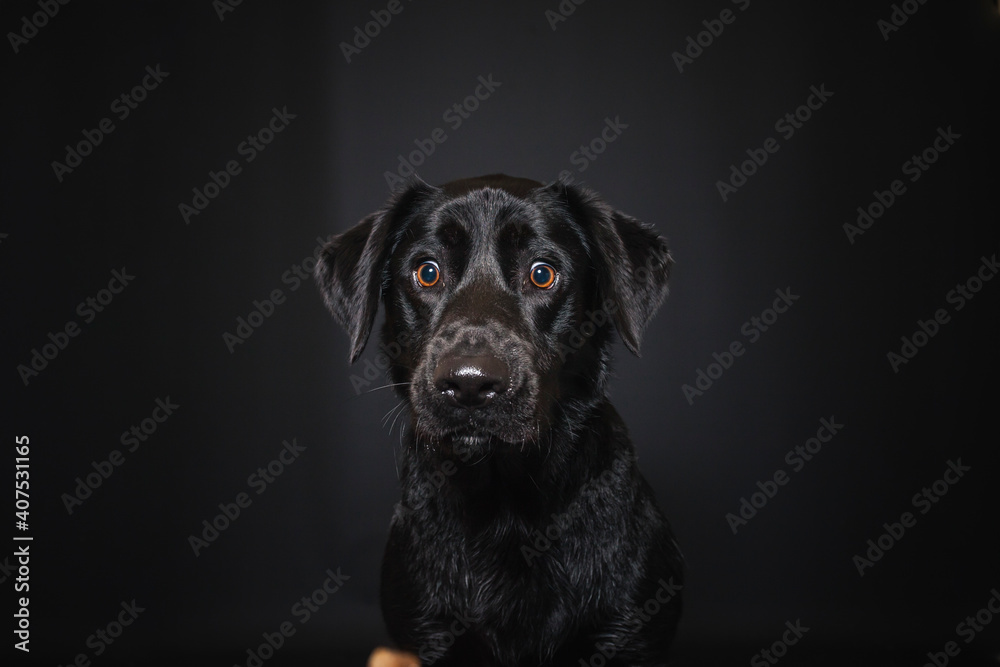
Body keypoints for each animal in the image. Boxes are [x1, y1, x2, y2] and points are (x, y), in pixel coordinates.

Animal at [316, 175, 684, 664]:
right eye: (427, 272)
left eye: (542, 274)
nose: (470, 384)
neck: (503, 502)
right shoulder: (428, 634)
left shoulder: (626, 634)